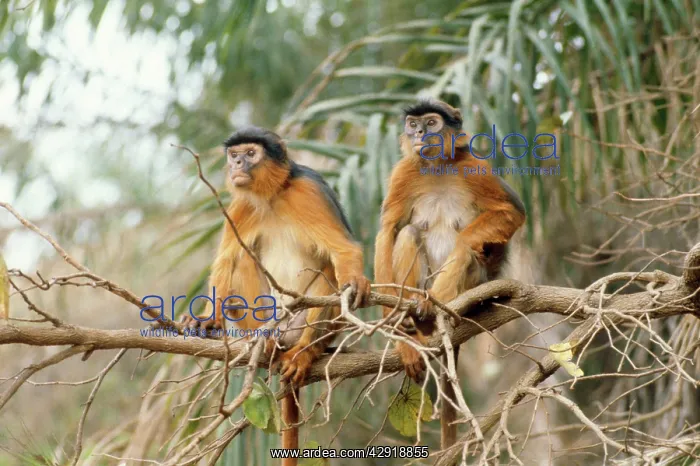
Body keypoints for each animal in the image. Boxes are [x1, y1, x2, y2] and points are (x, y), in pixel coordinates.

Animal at [182, 127, 371, 462]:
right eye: (234, 154)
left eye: (250, 153)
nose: (237, 164)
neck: (272, 197)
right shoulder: (241, 207)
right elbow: (226, 261)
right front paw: (208, 318)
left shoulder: (309, 190)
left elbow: (343, 252)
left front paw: (355, 283)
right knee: (242, 260)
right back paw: (266, 342)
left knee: (329, 270)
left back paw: (306, 351)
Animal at [374, 99, 526, 447]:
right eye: (413, 124)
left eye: (432, 123)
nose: (419, 133)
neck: (438, 169)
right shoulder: (404, 172)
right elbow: (389, 231)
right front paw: (398, 331)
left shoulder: (474, 166)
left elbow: (510, 213)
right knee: (409, 233)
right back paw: (415, 322)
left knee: (466, 251)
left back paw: (439, 307)